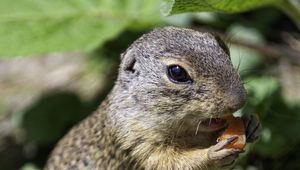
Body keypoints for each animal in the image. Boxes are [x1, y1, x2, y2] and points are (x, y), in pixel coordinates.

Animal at [45, 26, 262, 170]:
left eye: (223, 46)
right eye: (177, 72)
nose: (239, 100)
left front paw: (251, 123)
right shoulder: (135, 141)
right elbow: (169, 163)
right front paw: (211, 154)